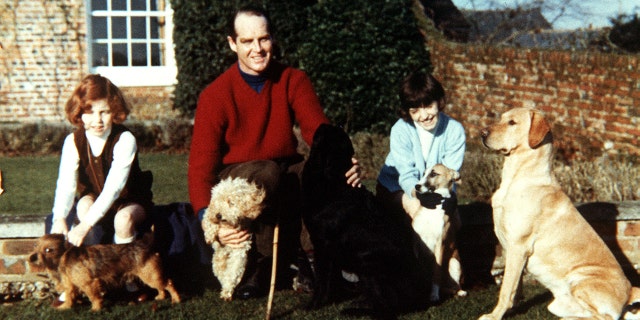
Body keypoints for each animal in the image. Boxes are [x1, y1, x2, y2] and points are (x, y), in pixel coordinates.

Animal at [302, 124, 432, 318]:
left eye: (327, 135)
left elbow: (322, 280)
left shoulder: (322, 244)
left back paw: (353, 311)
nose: (326, 124)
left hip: (368, 263)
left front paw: (313, 304)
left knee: (384, 310)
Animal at [410, 165, 464, 302]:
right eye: (424, 173)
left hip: (455, 263)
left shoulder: (440, 244)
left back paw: (460, 292)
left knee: (456, 286)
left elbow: (436, 273)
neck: (432, 210)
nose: (417, 186)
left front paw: (434, 295)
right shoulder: (416, 242)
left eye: (434, 174)